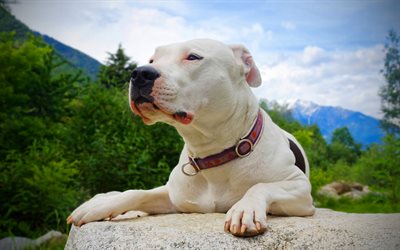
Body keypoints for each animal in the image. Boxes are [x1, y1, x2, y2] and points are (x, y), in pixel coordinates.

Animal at [67, 38, 314, 236]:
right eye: (152, 59)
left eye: (193, 57)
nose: (139, 73)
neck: (212, 152)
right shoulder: (175, 197)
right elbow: (136, 193)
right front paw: (99, 207)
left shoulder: (301, 191)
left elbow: (262, 186)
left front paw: (246, 209)